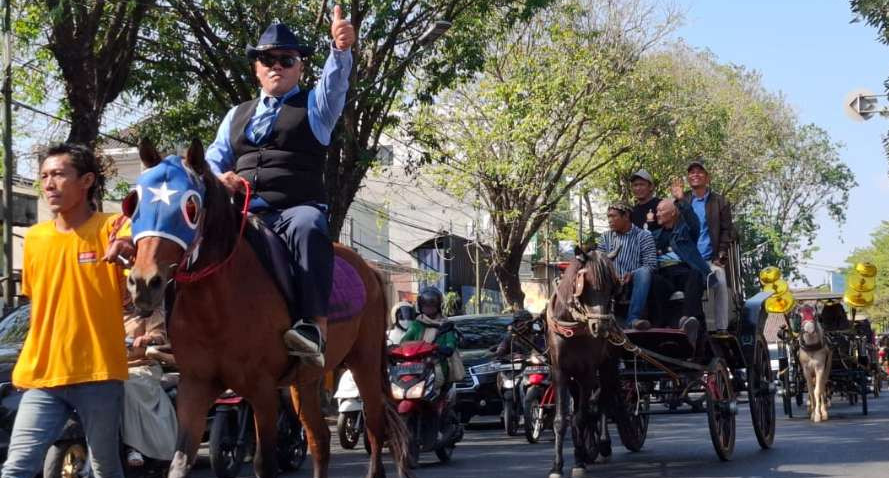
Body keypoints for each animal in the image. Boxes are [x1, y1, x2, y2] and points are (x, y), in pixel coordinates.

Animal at [123, 141, 412, 478]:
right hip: (306, 378)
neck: (215, 306)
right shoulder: (195, 385)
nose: (144, 282)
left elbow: (266, 463)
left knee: (376, 431)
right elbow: (180, 461)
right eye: (135, 203)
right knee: (319, 438)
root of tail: (370, 270)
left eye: (190, 208)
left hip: (364, 362)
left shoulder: (261, 390)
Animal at [544, 250, 620, 478]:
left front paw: (578, 462)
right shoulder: (560, 372)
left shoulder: (587, 373)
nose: (601, 327)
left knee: (603, 401)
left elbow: (580, 417)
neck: (573, 325)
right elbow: (561, 420)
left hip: (607, 367)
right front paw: (557, 466)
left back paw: (602, 444)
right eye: (587, 285)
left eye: (612, 287)